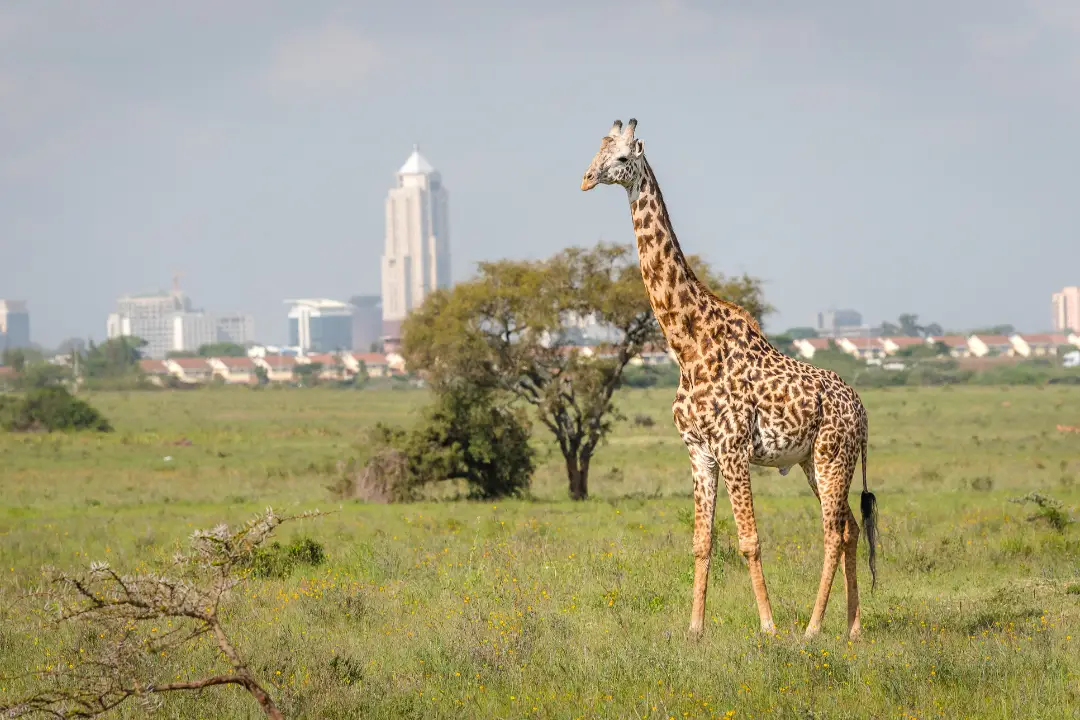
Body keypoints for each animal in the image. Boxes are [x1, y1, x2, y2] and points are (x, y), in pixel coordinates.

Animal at [583, 119, 876, 643]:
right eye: (596, 151)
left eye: (621, 158)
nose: (587, 179)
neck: (688, 344)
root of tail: (862, 413)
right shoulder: (699, 450)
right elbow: (702, 541)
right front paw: (695, 629)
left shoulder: (733, 447)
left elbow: (749, 540)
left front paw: (768, 626)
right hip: (813, 462)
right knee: (849, 529)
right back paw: (853, 627)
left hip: (832, 456)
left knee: (831, 532)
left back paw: (812, 629)